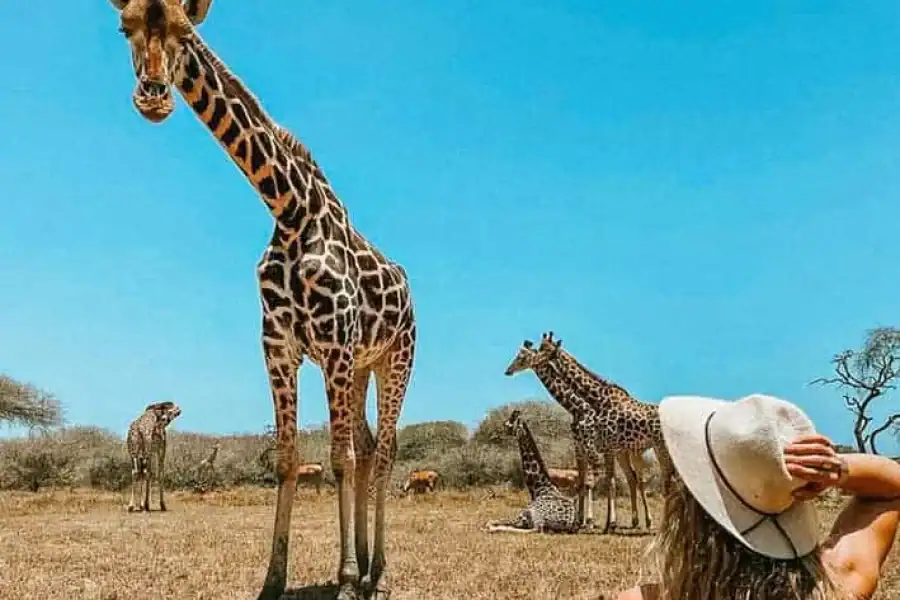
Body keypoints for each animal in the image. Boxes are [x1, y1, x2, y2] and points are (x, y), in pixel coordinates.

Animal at [106, 3, 416, 599]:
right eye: (125, 28)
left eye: (186, 33)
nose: (153, 97)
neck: (289, 209)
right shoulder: (279, 346)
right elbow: (289, 458)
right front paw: (276, 578)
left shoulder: (333, 345)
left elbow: (338, 459)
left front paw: (346, 580)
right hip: (361, 366)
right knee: (369, 449)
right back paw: (369, 565)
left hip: (395, 357)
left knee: (384, 451)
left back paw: (380, 575)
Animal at [504, 340, 644, 532]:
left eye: (521, 356)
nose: (508, 370)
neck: (578, 407)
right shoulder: (580, 446)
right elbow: (584, 483)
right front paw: (582, 521)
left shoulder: (591, 446)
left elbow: (590, 483)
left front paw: (589, 522)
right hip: (620, 452)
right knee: (630, 478)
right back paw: (632, 522)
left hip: (634, 450)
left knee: (640, 478)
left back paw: (644, 522)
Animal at [538, 331, 676, 529]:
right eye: (539, 347)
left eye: (545, 349)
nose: (535, 357)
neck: (595, 399)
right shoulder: (599, 448)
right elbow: (599, 480)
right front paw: (599, 522)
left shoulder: (601, 447)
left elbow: (602, 481)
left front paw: (602, 522)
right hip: (641, 450)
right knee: (640, 479)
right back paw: (640, 521)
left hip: (656, 448)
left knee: (660, 479)